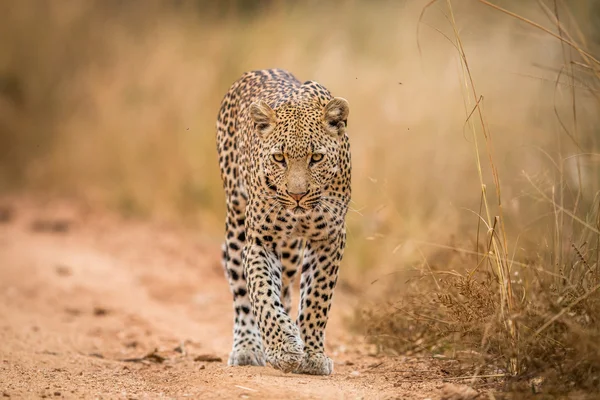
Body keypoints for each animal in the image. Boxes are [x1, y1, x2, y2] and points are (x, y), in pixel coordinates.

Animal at [216, 68, 350, 376]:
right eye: (279, 157)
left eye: (316, 157)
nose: (297, 195)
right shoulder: (260, 240)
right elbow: (262, 293)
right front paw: (283, 348)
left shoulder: (329, 238)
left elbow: (316, 298)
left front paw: (312, 355)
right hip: (236, 223)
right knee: (241, 290)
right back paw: (247, 347)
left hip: (290, 252)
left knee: (287, 288)